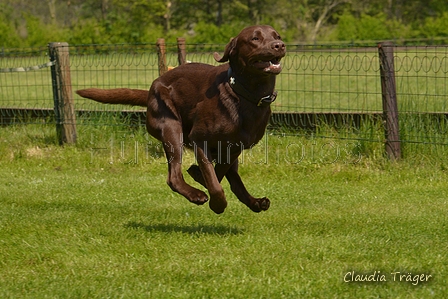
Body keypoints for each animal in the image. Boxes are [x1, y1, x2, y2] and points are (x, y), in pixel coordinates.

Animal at [76, 24, 286, 214]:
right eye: (255, 38)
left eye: (277, 35)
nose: (280, 45)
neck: (243, 95)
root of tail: (150, 90)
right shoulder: (199, 140)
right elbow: (213, 179)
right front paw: (216, 204)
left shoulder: (235, 147)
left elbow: (219, 172)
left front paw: (199, 175)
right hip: (171, 128)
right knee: (174, 177)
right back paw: (196, 195)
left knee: (231, 177)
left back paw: (256, 202)